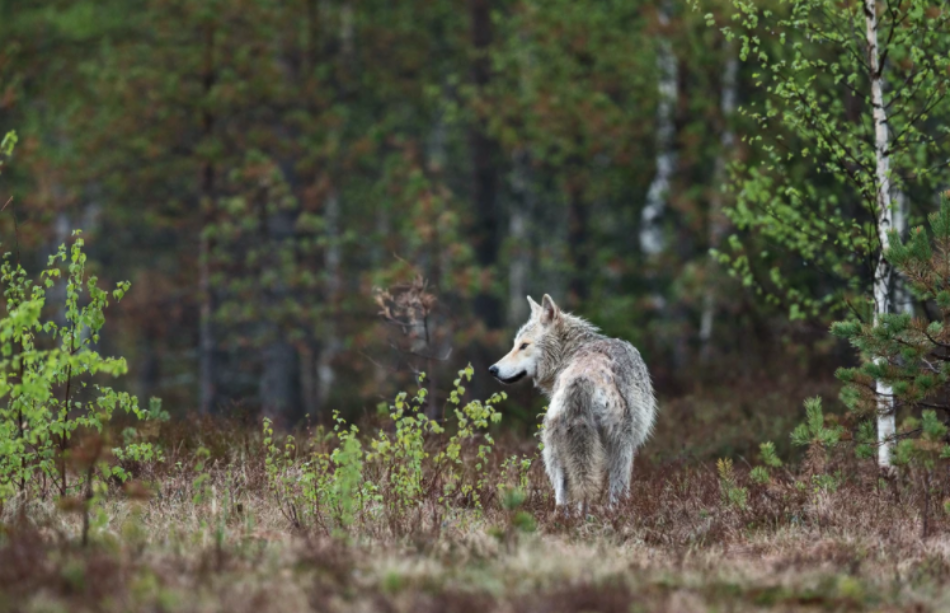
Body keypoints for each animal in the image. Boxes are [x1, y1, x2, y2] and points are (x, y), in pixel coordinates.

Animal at [490, 292, 656, 506]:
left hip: (554, 452)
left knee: (563, 497)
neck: (570, 352)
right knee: (613, 495)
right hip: (620, 449)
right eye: (515, 345)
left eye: (523, 345)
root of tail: (581, 378)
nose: (492, 369)